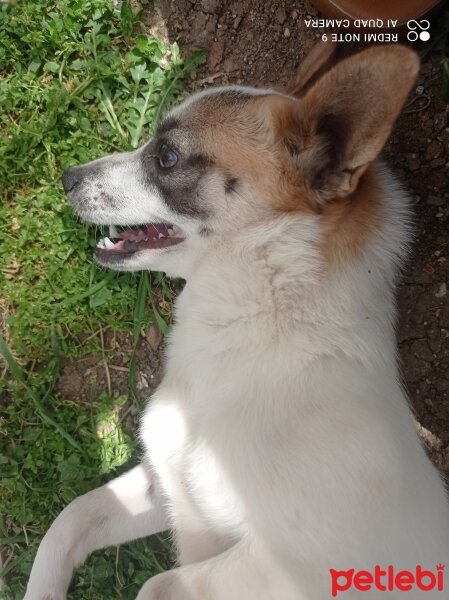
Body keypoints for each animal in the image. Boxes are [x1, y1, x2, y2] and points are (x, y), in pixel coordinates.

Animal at [25, 43, 448, 600]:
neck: (258, 330)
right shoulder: (168, 487)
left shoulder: (289, 567)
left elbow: (156, 585)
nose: (67, 178)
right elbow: (68, 521)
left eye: (167, 156)